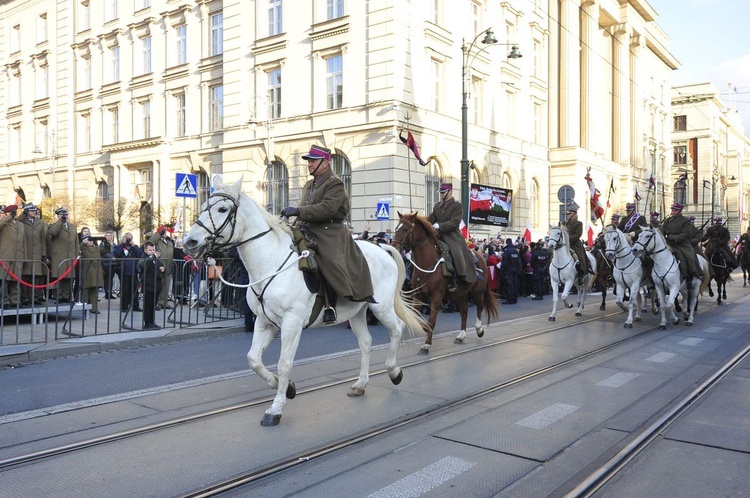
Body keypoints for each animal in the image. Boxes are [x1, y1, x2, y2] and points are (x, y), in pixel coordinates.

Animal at [184, 177, 426, 426]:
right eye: (203, 206)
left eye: (222, 209)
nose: (189, 241)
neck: (271, 261)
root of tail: (382, 248)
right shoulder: (265, 322)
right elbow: (253, 359)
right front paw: (286, 388)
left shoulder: (292, 323)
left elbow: (284, 363)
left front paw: (275, 408)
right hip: (358, 311)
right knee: (366, 343)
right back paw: (360, 384)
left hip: (382, 307)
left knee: (397, 328)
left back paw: (394, 371)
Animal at [394, 210, 500, 354]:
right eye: (396, 228)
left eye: (405, 229)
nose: (393, 246)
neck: (427, 262)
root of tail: (479, 256)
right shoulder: (418, 295)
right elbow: (416, 316)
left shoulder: (437, 296)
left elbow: (431, 321)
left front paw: (426, 345)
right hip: (459, 294)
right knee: (464, 312)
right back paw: (461, 336)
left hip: (478, 291)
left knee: (480, 307)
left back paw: (479, 329)